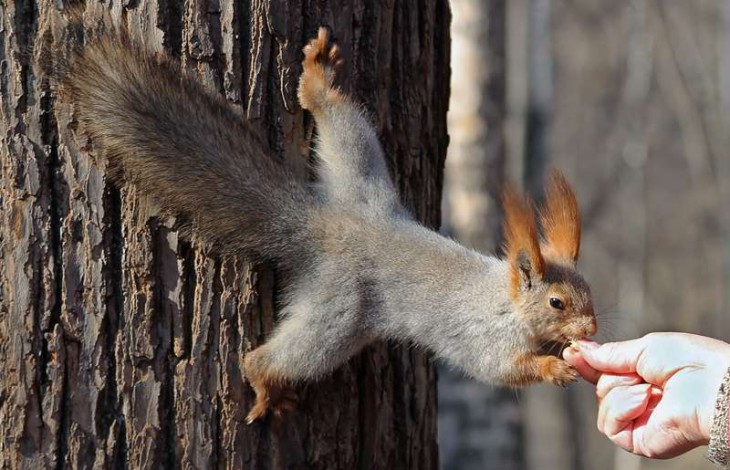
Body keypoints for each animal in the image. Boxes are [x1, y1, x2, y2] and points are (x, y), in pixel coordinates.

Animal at [58, 24, 592, 422]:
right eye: (557, 302)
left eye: (589, 294)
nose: (591, 330)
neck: (507, 301)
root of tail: (319, 224)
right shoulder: (484, 335)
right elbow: (499, 369)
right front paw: (551, 368)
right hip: (338, 313)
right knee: (281, 357)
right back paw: (265, 383)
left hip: (360, 173)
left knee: (337, 116)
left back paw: (319, 81)